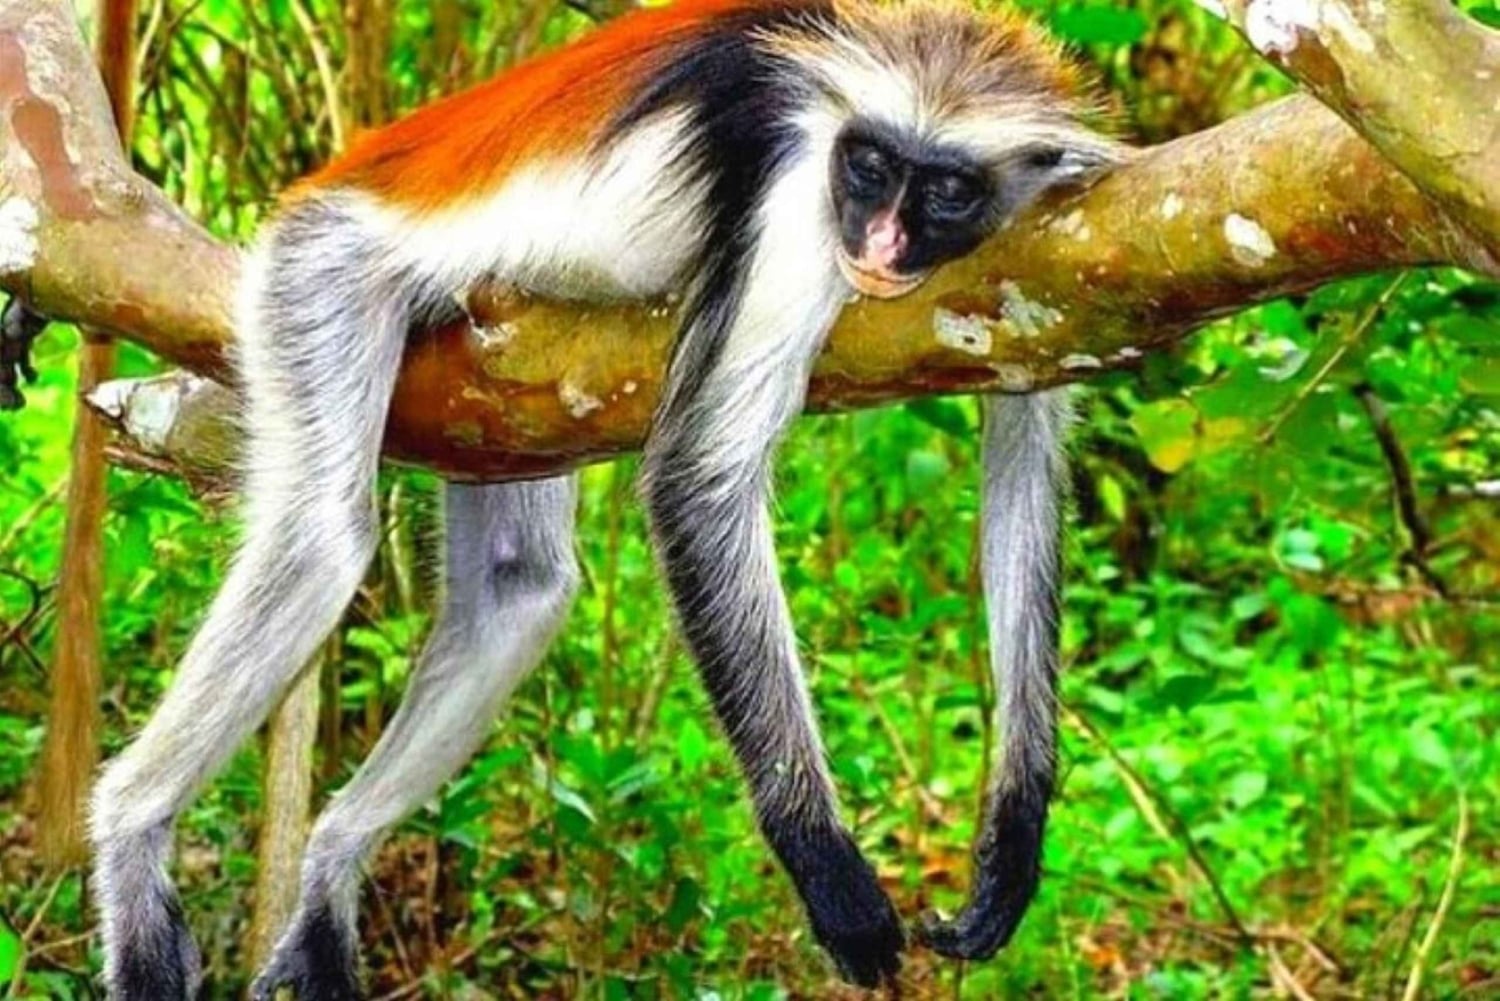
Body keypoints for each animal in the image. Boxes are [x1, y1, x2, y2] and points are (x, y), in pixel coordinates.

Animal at [85, 1, 1122, 997]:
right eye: (868, 165)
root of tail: (343, 174)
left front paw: (1014, 834)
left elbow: (1026, 449)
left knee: (520, 587)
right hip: (320, 273)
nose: (878, 241)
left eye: (944, 189)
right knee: (319, 545)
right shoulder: (799, 188)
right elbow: (697, 481)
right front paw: (826, 866)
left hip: (497, 386)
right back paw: (130, 830)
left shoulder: (1053, 239)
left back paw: (331, 861)